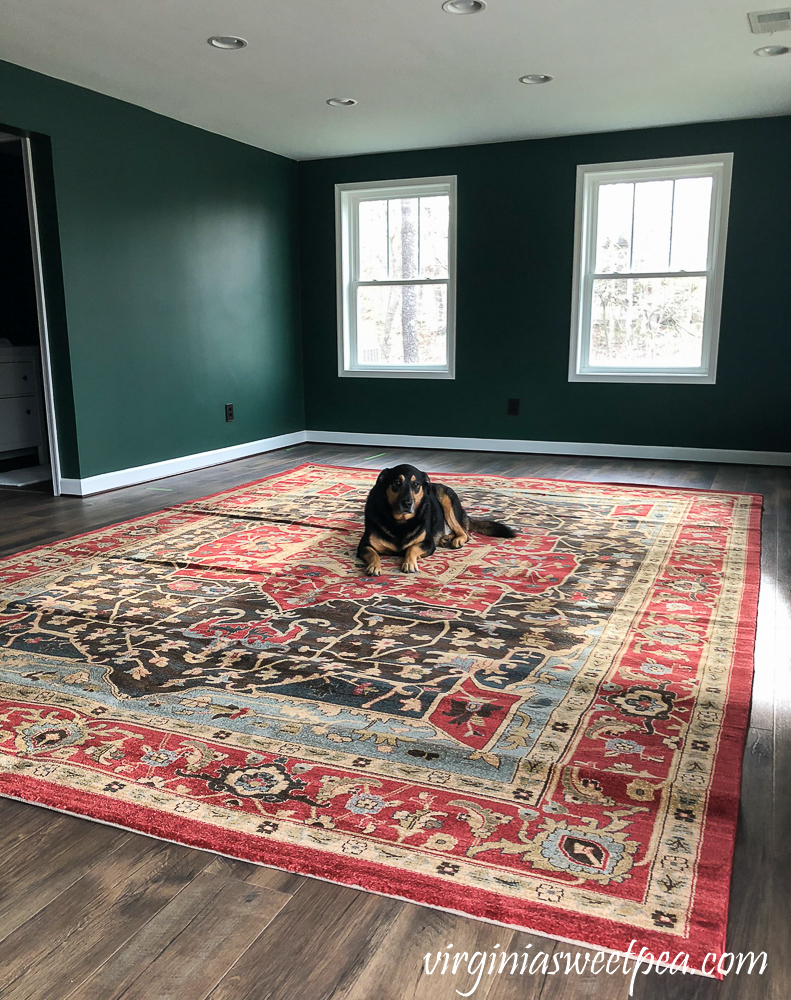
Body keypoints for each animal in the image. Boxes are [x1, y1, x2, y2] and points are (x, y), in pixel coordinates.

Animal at [356, 466, 516, 580]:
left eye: (416, 484)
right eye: (397, 483)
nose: (407, 504)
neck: (400, 521)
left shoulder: (427, 543)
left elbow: (412, 548)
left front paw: (409, 563)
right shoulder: (363, 546)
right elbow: (373, 554)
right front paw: (374, 566)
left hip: (445, 497)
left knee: (465, 533)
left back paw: (456, 540)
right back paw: (446, 538)